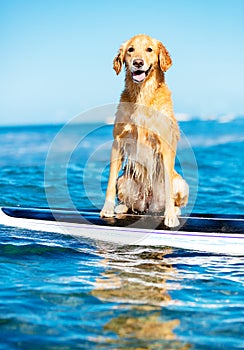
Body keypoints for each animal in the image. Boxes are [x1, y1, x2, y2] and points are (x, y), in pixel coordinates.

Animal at [100, 34, 188, 228]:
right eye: (130, 50)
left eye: (149, 50)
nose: (138, 62)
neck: (142, 95)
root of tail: (150, 204)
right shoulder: (118, 142)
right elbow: (110, 179)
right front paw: (107, 208)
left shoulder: (165, 146)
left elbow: (168, 187)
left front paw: (170, 216)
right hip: (124, 181)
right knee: (131, 204)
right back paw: (121, 207)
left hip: (182, 183)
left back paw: (174, 211)